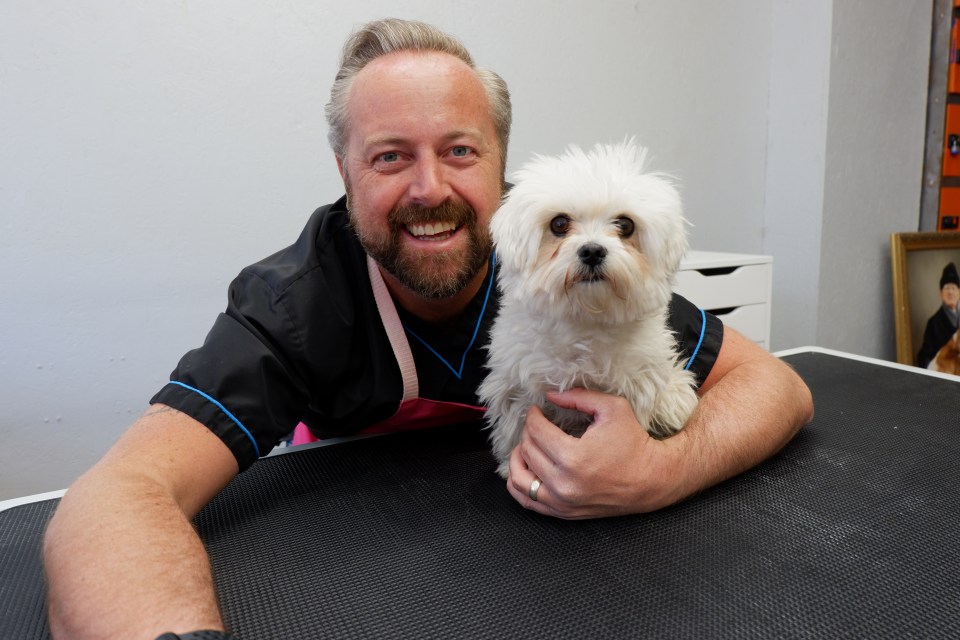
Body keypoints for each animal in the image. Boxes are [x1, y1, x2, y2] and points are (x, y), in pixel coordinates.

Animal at [480, 141, 696, 480]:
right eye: (559, 224)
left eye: (625, 225)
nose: (593, 251)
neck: (585, 319)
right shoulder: (515, 386)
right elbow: (514, 426)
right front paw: (508, 465)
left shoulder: (638, 386)